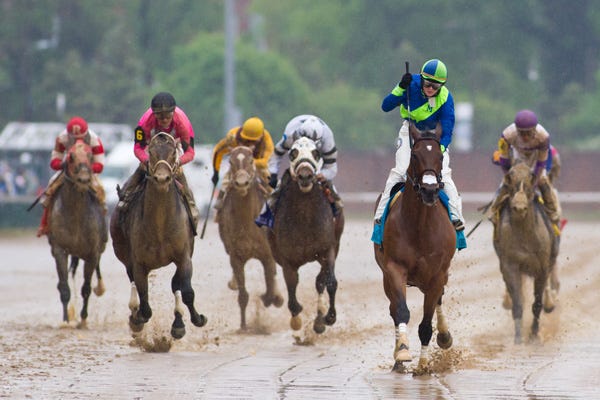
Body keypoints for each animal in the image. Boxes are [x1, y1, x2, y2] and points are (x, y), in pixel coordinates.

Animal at [47, 139, 109, 326]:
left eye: (90, 155)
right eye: (71, 156)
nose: (83, 178)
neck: (76, 214)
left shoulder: (92, 253)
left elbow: (86, 288)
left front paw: (83, 318)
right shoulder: (60, 249)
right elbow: (64, 287)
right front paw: (66, 320)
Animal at [109, 133, 206, 340]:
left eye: (173, 153)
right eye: (151, 153)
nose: (162, 178)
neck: (160, 224)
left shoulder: (184, 257)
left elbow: (186, 290)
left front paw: (195, 320)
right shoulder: (139, 263)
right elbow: (145, 302)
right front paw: (137, 319)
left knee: (176, 285)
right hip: (124, 255)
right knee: (134, 283)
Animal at [218, 145, 284, 330]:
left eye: (251, 160)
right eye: (231, 161)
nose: (241, 183)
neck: (248, 221)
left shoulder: (267, 255)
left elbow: (270, 286)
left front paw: (275, 298)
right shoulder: (236, 257)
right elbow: (243, 295)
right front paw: (243, 326)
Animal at [266, 138, 344, 334]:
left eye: (316, 153)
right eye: (293, 153)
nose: (305, 176)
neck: (305, 217)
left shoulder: (328, 249)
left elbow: (330, 282)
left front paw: (329, 317)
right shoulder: (287, 259)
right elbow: (292, 285)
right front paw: (296, 319)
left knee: (320, 281)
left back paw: (319, 320)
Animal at [372, 122, 458, 372]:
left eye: (440, 156)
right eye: (415, 155)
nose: (429, 190)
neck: (420, 226)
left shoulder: (437, 274)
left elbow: (426, 325)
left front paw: (423, 365)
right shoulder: (394, 268)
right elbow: (401, 311)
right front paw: (402, 352)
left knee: (438, 301)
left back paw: (444, 336)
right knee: (393, 309)